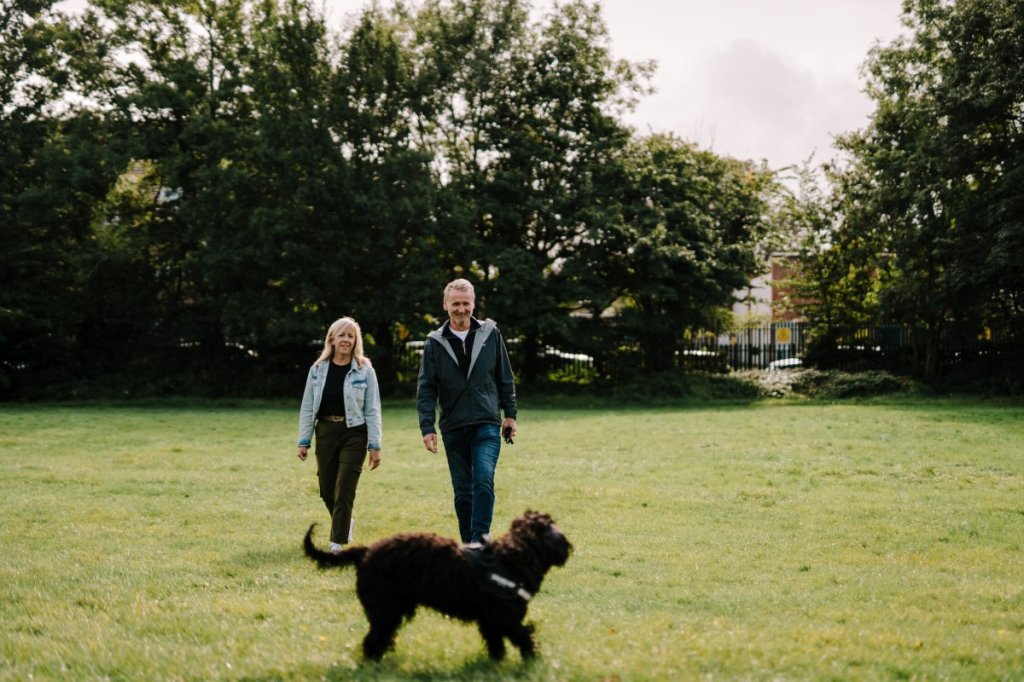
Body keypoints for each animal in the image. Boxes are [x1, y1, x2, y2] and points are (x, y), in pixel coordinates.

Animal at [303, 507, 577, 655]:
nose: (568, 548)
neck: (513, 557)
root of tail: (367, 551)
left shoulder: (490, 622)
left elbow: (496, 645)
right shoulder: (505, 618)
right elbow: (524, 637)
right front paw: (532, 659)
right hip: (386, 609)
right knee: (373, 641)